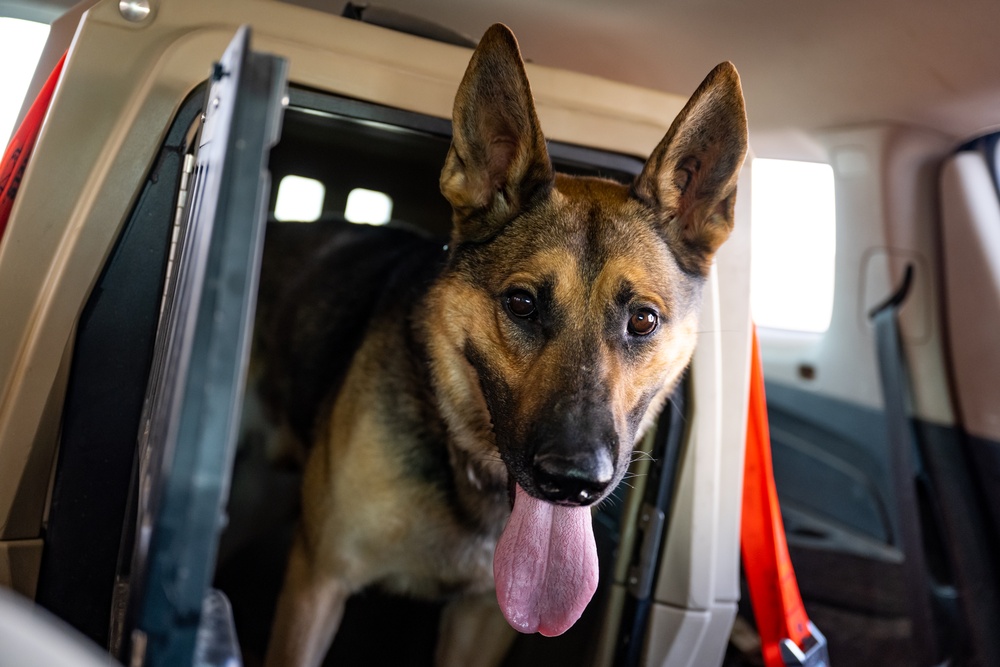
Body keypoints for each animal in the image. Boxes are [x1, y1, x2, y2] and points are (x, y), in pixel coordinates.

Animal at [262, 23, 748, 667]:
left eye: (643, 320)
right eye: (521, 304)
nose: (572, 482)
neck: (469, 472)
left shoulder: (481, 623)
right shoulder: (316, 584)